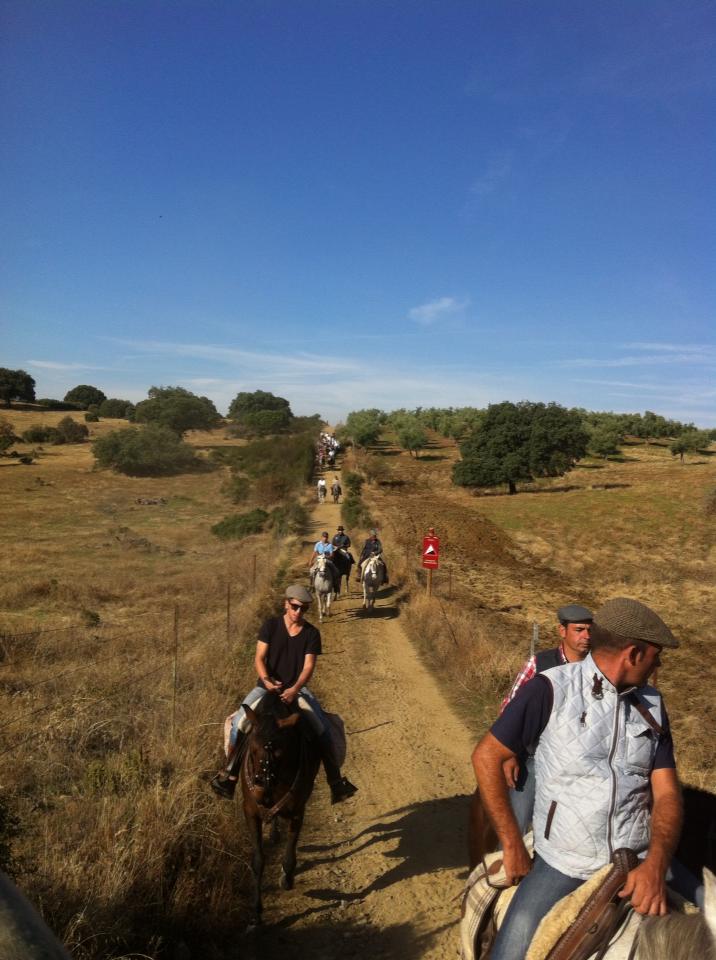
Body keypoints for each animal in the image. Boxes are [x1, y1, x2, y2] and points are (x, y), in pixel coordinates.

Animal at [241, 692, 318, 928]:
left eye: (281, 753)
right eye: (252, 749)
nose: (262, 794)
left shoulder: (298, 810)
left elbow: (290, 851)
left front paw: (287, 877)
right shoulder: (251, 812)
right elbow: (258, 860)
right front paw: (256, 913)